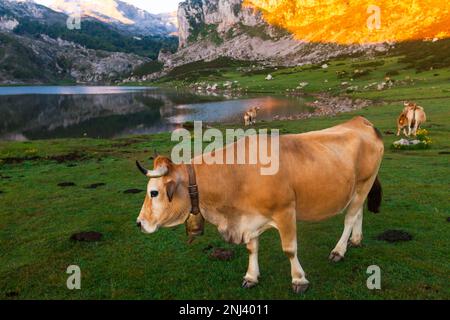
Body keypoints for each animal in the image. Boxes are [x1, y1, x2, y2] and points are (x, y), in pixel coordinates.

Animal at [134, 116, 384, 294]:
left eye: (154, 192)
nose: (139, 223)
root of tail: (361, 121)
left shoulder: (285, 211)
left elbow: (289, 249)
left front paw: (299, 280)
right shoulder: (248, 216)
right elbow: (252, 248)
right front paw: (251, 277)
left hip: (365, 182)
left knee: (350, 217)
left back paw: (339, 251)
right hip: (359, 188)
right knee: (358, 212)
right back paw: (356, 239)